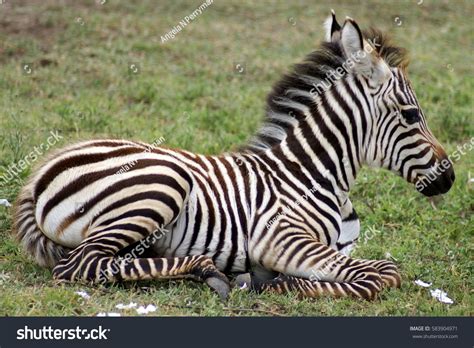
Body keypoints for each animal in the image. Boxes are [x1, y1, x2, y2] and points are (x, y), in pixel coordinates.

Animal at [12, 12, 454, 302]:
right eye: (411, 115)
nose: (449, 178)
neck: (313, 174)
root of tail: (38, 175)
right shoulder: (279, 238)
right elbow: (384, 274)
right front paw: (275, 283)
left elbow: (374, 272)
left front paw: (274, 282)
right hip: (161, 184)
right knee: (81, 266)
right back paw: (208, 270)